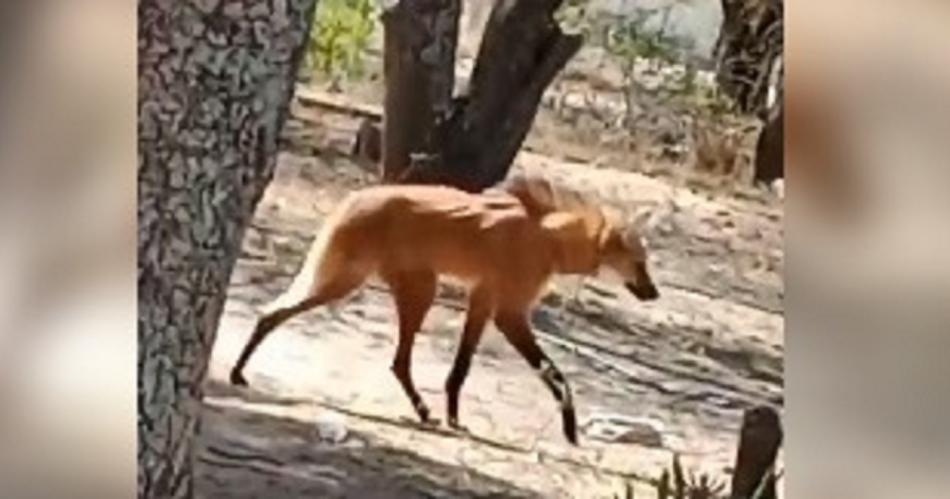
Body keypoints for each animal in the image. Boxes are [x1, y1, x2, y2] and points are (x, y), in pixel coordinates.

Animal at [231, 176, 660, 446]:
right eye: (640, 265)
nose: (654, 293)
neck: (549, 238)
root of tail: (353, 197)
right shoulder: (507, 310)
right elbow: (556, 374)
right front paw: (570, 429)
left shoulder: (484, 299)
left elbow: (462, 368)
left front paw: (454, 417)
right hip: (359, 283)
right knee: (274, 314)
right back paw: (237, 373)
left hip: (413, 286)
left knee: (396, 361)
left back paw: (424, 412)